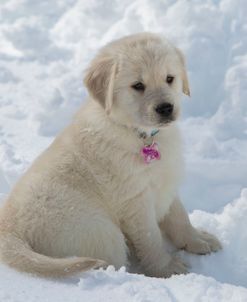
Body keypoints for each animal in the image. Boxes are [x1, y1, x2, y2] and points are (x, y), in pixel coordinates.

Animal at [0, 33, 221, 278]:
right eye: (138, 86)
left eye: (170, 78)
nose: (165, 108)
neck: (139, 134)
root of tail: (8, 231)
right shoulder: (135, 200)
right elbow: (150, 238)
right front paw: (166, 269)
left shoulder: (166, 179)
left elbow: (179, 217)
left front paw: (198, 240)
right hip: (102, 233)